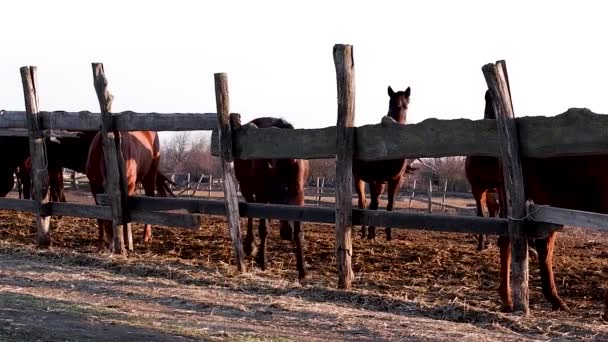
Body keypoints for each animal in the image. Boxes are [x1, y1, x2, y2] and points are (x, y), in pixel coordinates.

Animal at [233, 117, 308, 280]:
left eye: (291, 195)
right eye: (278, 199)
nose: (286, 233)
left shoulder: (299, 196)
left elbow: (299, 234)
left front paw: (302, 270)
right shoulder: (263, 196)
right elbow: (263, 229)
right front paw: (263, 261)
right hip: (247, 188)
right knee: (251, 213)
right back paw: (250, 246)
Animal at [352, 86, 414, 240]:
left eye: (406, 105)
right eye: (390, 104)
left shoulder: (396, 180)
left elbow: (390, 205)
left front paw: (389, 234)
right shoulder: (374, 179)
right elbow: (373, 204)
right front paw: (372, 234)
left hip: (381, 183)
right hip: (359, 178)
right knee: (363, 202)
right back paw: (365, 232)